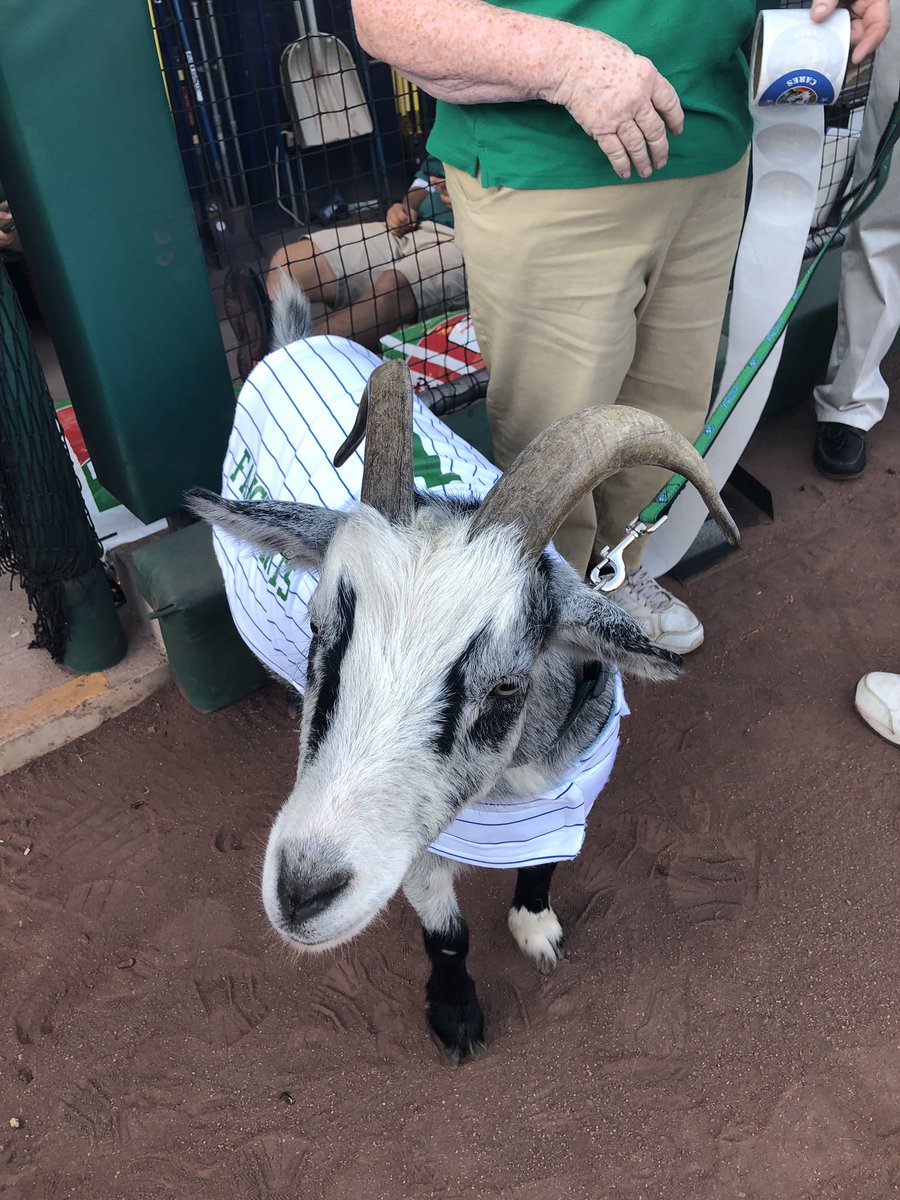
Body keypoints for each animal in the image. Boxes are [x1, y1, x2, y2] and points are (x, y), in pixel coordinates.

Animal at [187, 285, 734, 1065]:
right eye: (321, 632)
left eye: (506, 685)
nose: (302, 893)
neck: (512, 786)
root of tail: (291, 345)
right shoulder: (418, 851)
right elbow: (447, 935)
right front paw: (456, 1017)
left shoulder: (569, 797)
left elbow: (543, 867)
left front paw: (537, 928)